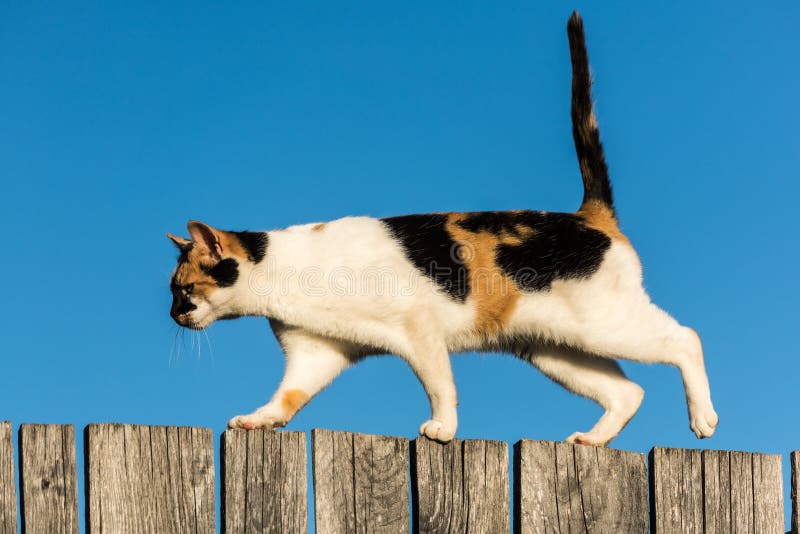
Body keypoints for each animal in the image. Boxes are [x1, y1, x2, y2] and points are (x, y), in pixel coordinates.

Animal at [169, 13, 720, 448]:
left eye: (184, 288)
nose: (173, 316)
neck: (284, 274)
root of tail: (589, 215)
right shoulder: (316, 351)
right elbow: (288, 395)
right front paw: (260, 420)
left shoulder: (419, 328)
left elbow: (440, 384)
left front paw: (443, 428)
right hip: (556, 348)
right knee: (629, 392)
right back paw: (592, 439)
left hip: (607, 324)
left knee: (686, 339)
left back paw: (703, 418)